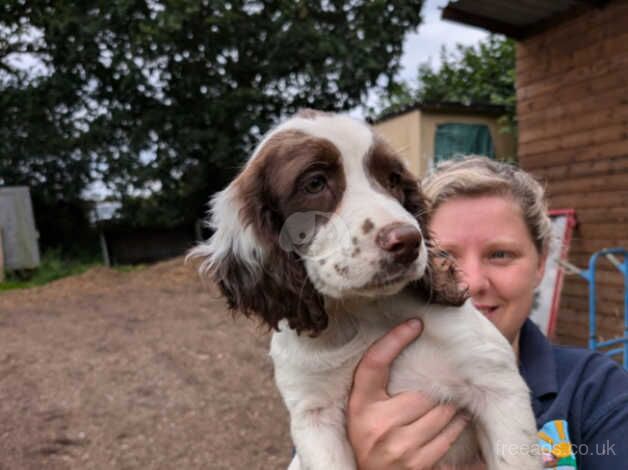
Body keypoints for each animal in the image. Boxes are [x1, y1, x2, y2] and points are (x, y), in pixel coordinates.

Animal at [190, 111, 540, 470]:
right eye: (314, 183)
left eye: (393, 180)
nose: (408, 242)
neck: (364, 312)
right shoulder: (313, 414)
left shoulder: (494, 378)